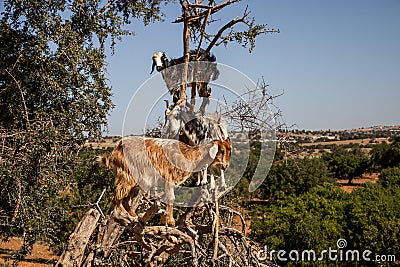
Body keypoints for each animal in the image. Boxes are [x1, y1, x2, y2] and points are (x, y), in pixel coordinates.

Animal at [100, 137, 231, 227]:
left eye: (229, 150)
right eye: (222, 150)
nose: (225, 166)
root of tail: (115, 151)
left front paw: (166, 220)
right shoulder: (169, 179)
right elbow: (171, 198)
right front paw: (171, 221)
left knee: (125, 198)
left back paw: (134, 216)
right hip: (128, 176)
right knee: (117, 195)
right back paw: (116, 215)